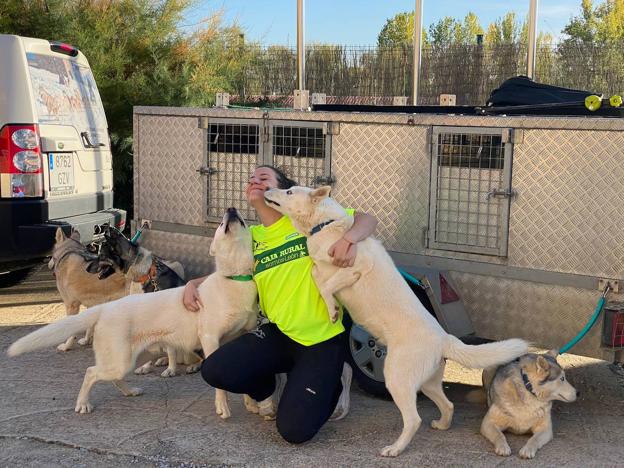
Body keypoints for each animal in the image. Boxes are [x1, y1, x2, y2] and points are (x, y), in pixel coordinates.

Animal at [7, 208, 256, 416]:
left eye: (242, 220)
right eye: (221, 224)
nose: (231, 209)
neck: (235, 278)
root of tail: (106, 308)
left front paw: (252, 403)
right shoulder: (210, 339)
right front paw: (222, 406)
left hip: (135, 357)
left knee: (114, 377)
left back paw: (129, 391)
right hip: (121, 360)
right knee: (91, 372)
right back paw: (83, 404)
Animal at [264, 186, 528, 458]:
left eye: (289, 191)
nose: (267, 188)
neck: (325, 225)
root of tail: (444, 338)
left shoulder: (354, 268)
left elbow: (325, 285)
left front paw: (333, 311)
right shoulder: (325, 268)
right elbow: (318, 275)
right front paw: (333, 307)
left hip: (396, 378)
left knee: (413, 419)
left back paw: (395, 448)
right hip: (427, 383)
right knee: (448, 404)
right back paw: (442, 425)